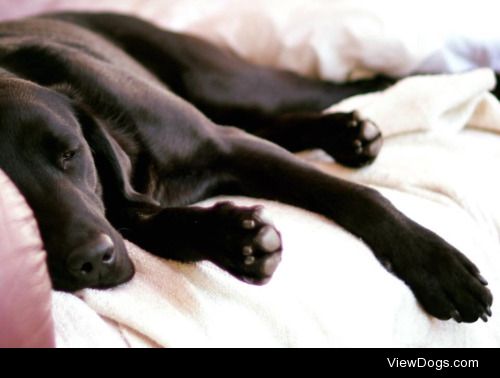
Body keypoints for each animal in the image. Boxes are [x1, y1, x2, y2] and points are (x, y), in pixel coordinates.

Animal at [0, 13, 492, 324]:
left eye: (70, 154)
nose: (91, 260)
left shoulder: (227, 146)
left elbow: (358, 196)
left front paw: (435, 264)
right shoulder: (126, 213)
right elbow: (167, 225)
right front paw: (234, 239)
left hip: (226, 83)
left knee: (358, 84)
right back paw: (348, 134)